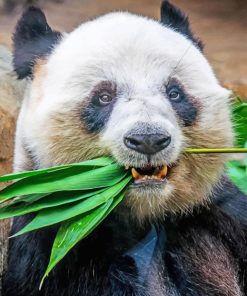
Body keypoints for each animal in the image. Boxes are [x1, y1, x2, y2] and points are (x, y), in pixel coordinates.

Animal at [2, 2, 247, 296]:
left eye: (174, 93)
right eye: (103, 97)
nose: (148, 139)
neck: (144, 212)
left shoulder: (215, 212)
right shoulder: (57, 237)